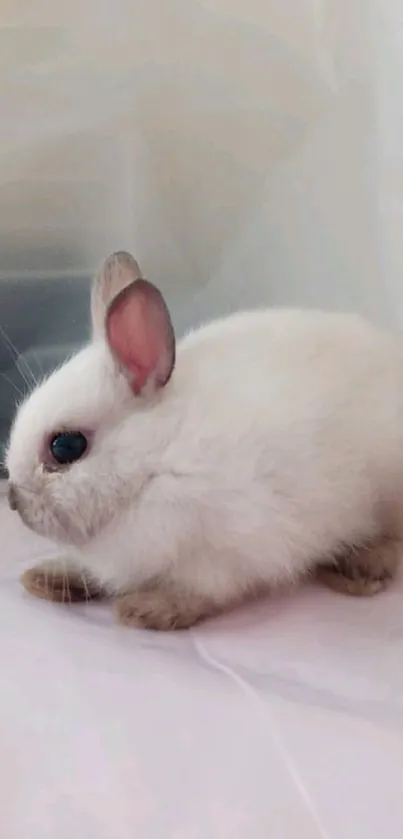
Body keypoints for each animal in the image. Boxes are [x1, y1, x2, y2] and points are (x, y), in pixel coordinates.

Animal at [5, 249, 403, 632]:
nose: (12, 500)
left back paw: (360, 571)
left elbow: (198, 592)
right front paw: (47, 577)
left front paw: (146, 610)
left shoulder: (221, 554)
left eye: (66, 446)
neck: (156, 458)